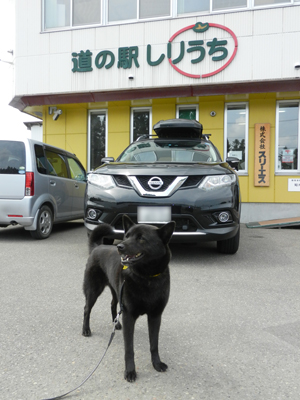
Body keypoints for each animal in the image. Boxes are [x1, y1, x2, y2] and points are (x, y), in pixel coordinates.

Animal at [82, 216, 176, 382]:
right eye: (127, 236)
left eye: (141, 238)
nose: (119, 246)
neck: (146, 277)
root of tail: (97, 247)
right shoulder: (129, 316)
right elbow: (129, 348)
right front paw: (130, 371)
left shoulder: (155, 316)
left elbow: (154, 344)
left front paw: (156, 363)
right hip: (93, 290)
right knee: (87, 309)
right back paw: (86, 329)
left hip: (116, 291)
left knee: (112, 304)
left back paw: (116, 324)